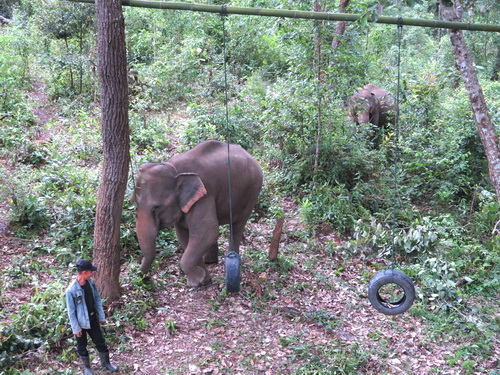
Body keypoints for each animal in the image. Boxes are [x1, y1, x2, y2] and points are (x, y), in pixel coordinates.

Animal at [133, 141, 266, 288]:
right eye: (135, 206)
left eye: (156, 208)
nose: (145, 279)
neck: (173, 168)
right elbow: (184, 235)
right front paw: (204, 279)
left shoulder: (204, 195)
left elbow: (206, 231)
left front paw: (198, 281)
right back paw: (210, 261)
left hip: (252, 191)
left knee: (236, 226)